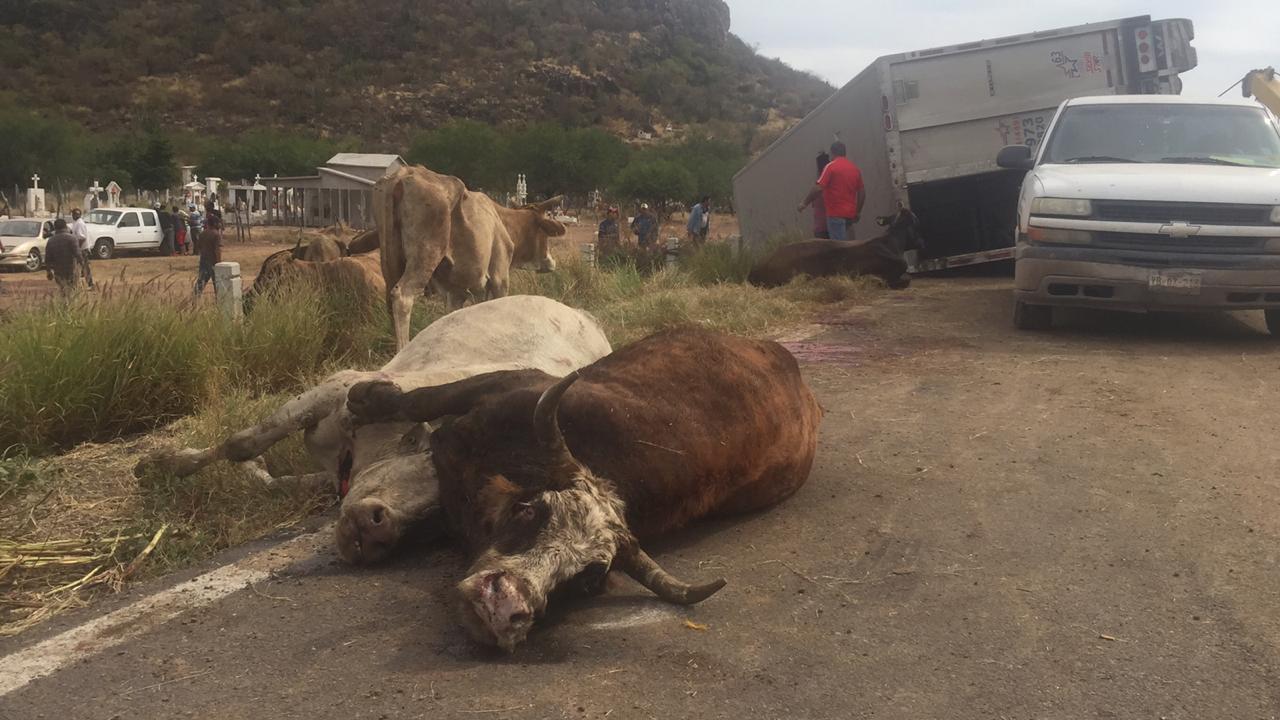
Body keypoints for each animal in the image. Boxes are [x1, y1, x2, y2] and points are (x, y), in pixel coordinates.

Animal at [132, 294, 611, 563]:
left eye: (446, 517)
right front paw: (163, 463)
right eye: (425, 452)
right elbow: (242, 442)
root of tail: (583, 314)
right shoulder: (335, 388)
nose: (379, 529)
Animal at [345, 326, 824, 650]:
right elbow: (419, 400)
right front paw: (367, 397)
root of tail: (789, 362)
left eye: (589, 580)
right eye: (529, 510)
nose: (504, 609)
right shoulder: (508, 385)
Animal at [373, 163, 568, 348]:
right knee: (402, 296)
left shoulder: (457, 292)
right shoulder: (499, 277)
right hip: (426, 253)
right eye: (545, 234)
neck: (501, 220)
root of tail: (402, 175)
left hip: (389, 262)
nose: (551, 262)